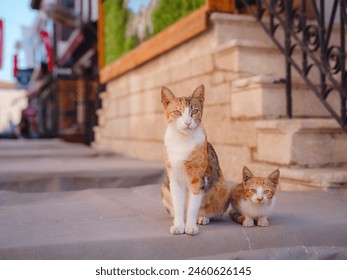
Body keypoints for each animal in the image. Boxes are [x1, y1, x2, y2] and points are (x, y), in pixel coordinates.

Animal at [161, 84, 231, 235]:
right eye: (177, 112)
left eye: (195, 111)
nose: (187, 122)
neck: (182, 140)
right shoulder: (174, 179)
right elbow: (178, 205)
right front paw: (179, 225)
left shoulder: (198, 179)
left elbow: (193, 207)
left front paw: (190, 226)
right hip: (164, 186)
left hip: (224, 189)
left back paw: (203, 217)